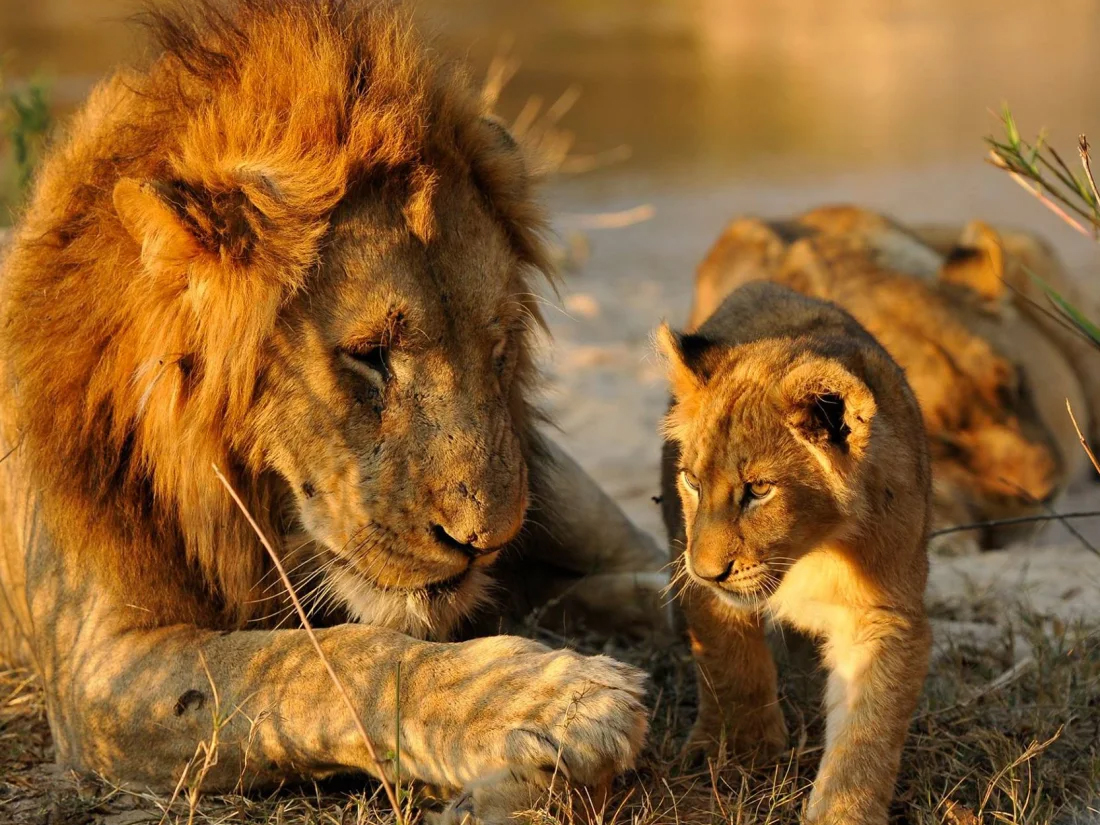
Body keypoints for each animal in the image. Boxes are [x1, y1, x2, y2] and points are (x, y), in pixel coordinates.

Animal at [0, 2, 664, 821]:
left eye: (499, 346)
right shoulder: (100, 671)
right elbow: (317, 662)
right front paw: (553, 701)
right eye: (370, 353)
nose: (483, 542)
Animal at [659, 281, 932, 825]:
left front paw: (843, 813)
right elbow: (732, 663)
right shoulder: (701, 575)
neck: (813, 550)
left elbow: (866, 730)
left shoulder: (883, 615)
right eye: (693, 482)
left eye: (759, 489)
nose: (706, 572)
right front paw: (744, 754)